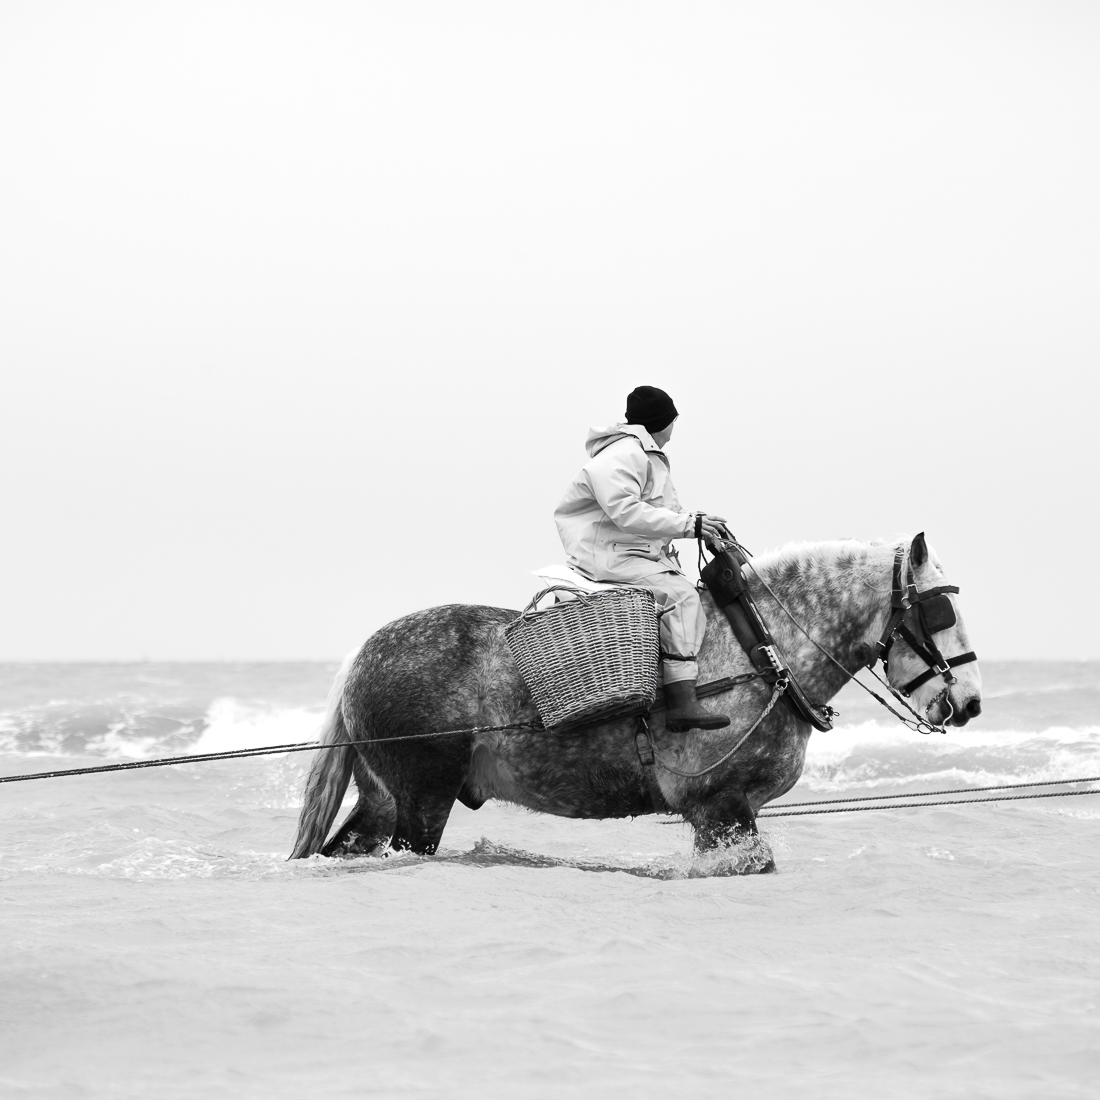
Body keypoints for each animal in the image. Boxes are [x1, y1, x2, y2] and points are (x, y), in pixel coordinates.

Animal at [289, 532, 981, 873]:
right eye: (939, 610)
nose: (969, 703)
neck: (758, 646)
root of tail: (362, 654)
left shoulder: (720, 817)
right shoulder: (720, 807)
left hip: (383, 800)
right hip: (422, 800)